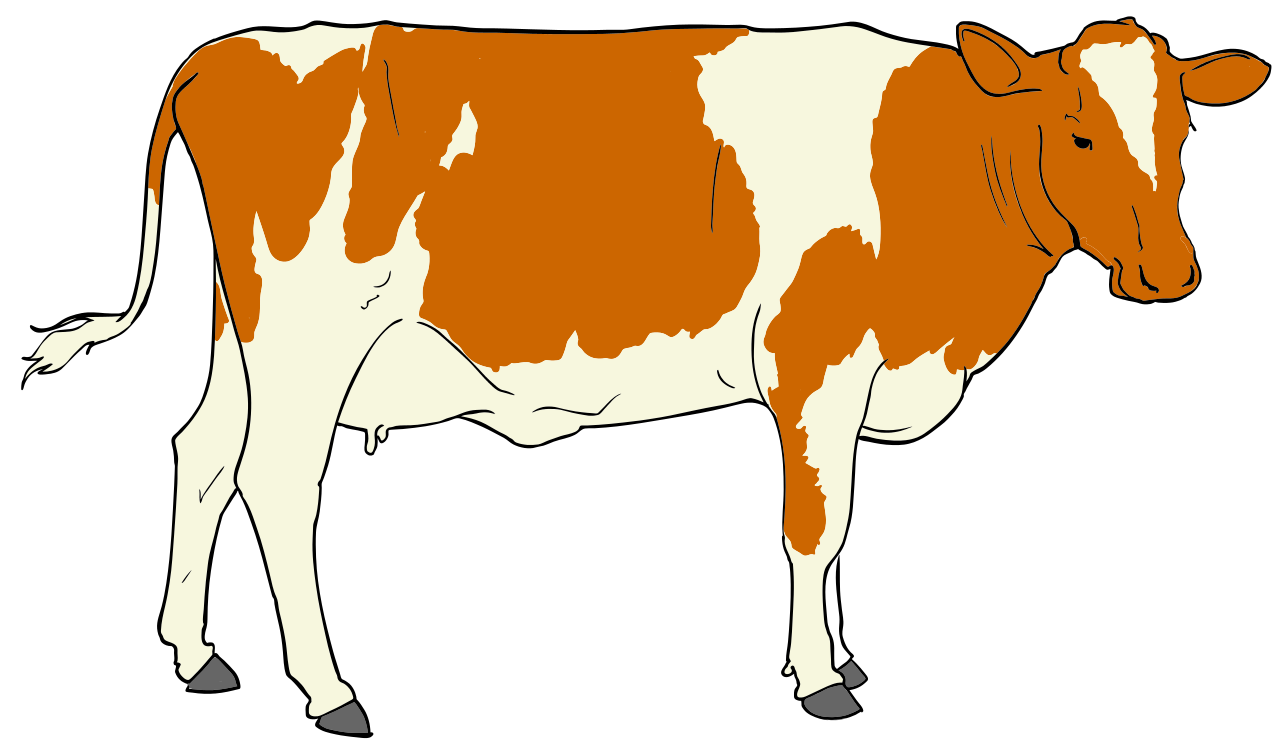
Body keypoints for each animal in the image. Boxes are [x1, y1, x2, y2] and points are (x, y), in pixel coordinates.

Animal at [27, 21, 1266, 730]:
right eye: (1080, 133)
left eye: (1182, 133)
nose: (1169, 272)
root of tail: (228, 47)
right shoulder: (814, 363)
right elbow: (815, 528)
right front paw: (815, 675)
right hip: (308, 337)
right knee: (275, 484)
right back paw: (330, 688)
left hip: (247, 336)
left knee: (199, 454)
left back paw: (194, 653)